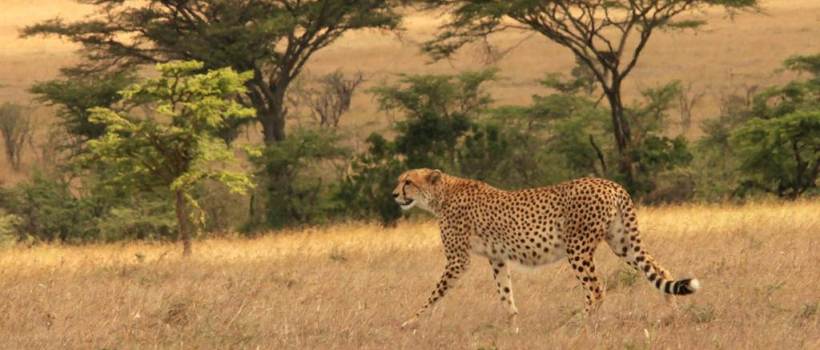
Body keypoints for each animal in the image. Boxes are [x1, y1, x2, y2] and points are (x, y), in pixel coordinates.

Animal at [394, 168, 700, 330]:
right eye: (400, 180)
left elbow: (435, 293)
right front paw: (513, 325)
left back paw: (578, 323)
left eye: (408, 181)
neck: (441, 195)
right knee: (661, 271)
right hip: (622, 244)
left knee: (596, 288)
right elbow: (505, 292)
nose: (395, 194)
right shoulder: (497, 258)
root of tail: (612, 184)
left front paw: (410, 321)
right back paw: (671, 315)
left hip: (577, 248)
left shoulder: (458, 260)